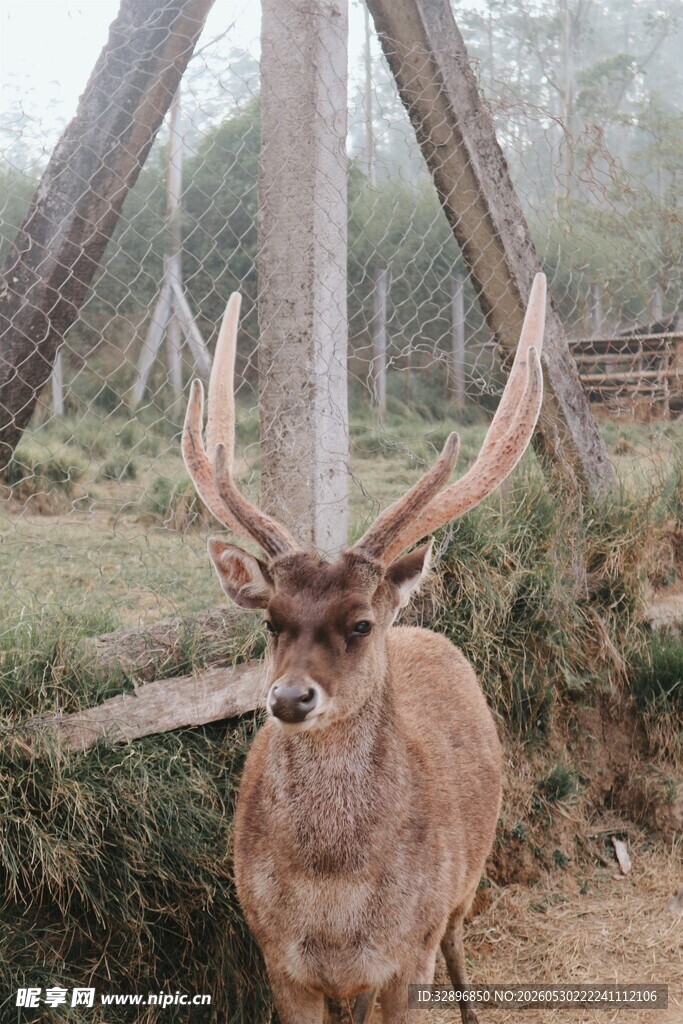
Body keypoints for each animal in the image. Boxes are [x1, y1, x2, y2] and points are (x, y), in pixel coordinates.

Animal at [182, 274, 546, 1024]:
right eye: (272, 622)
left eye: (359, 624)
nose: (291, 697)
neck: (336, 905)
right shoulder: (279, 960)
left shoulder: (408, 955)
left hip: (468, 878)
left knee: (460, 942)